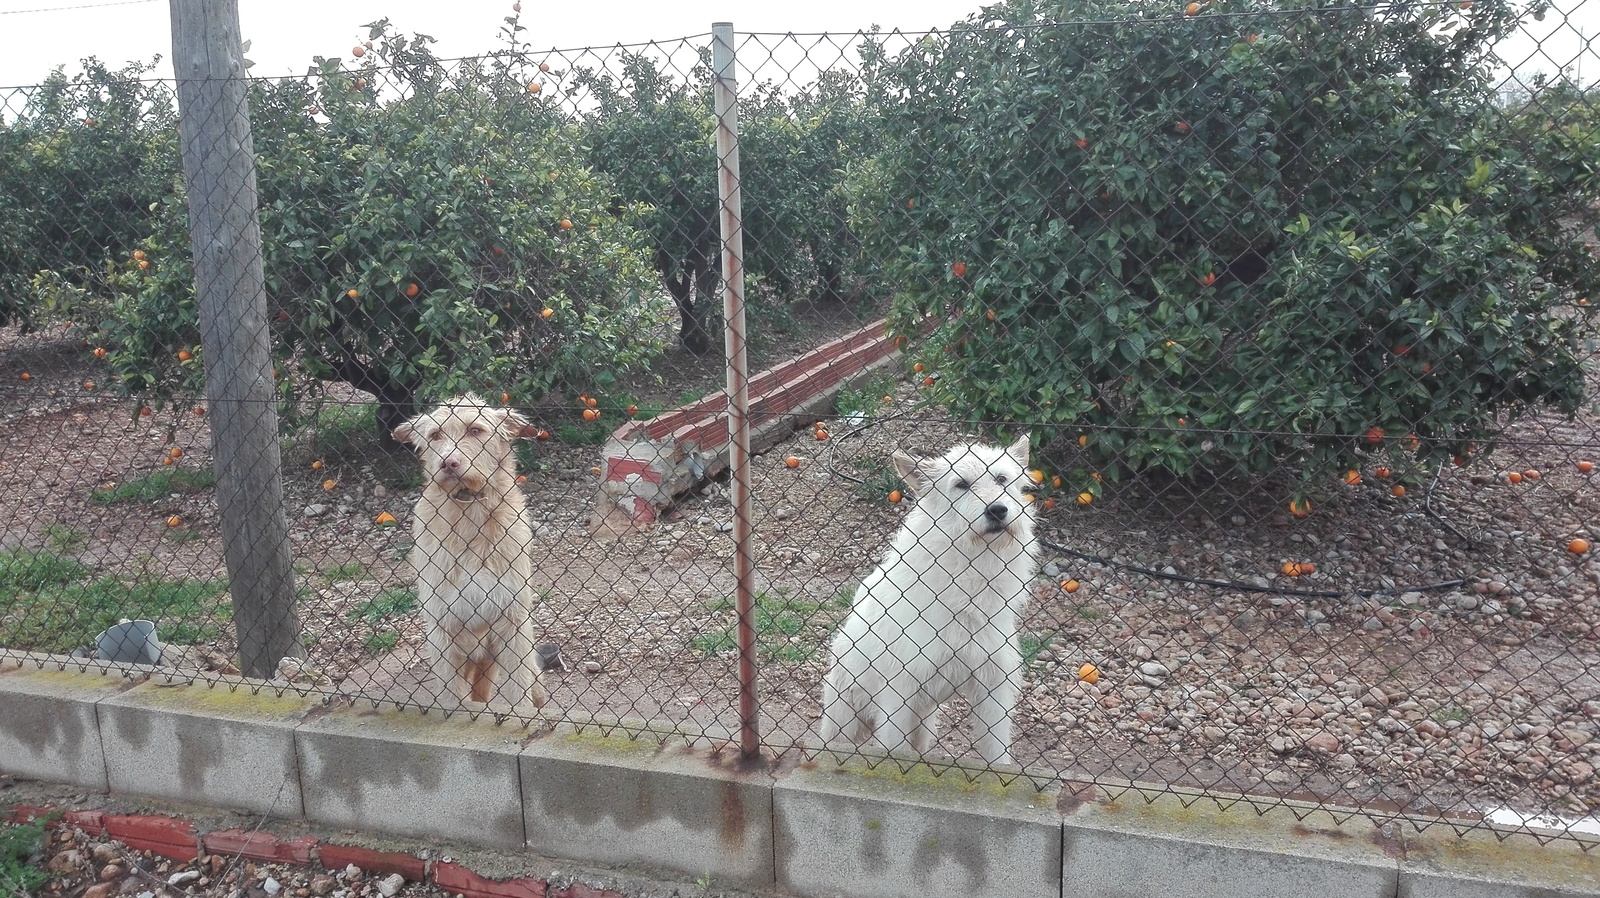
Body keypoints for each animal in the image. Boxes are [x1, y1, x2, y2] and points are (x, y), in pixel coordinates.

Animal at [393, 392, 550, 707]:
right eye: (435, 435)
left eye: (475, 430)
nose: (448, 463)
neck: (469, 519)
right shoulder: (442, 631)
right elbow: (453, 700)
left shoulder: (511, 622)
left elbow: (519, 693)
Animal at [825, 435, 1036, 761]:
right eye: (961, 484)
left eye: (1001, 479)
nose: (997, 511)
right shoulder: (899, 694)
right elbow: (893, 753)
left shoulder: (993, 689)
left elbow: (997, 754)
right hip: (843, 720)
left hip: (922, 723)